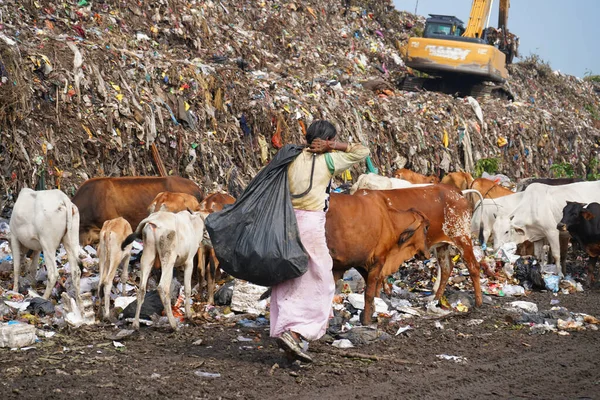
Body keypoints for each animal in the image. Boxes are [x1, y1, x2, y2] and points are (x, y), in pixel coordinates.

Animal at [328, 192, 432, 326]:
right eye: (426, 228)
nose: (428, 254)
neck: (391, 222)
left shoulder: (361, 263)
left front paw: (372, 311)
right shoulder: (378, 260)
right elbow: (369, 292)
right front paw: (367, 320)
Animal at [354, 184, 486, 310]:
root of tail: (457, 191)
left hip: (462, 237)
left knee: (473, 266)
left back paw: (478, 302)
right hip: (442, 245)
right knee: (446, 268)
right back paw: (436, 299)